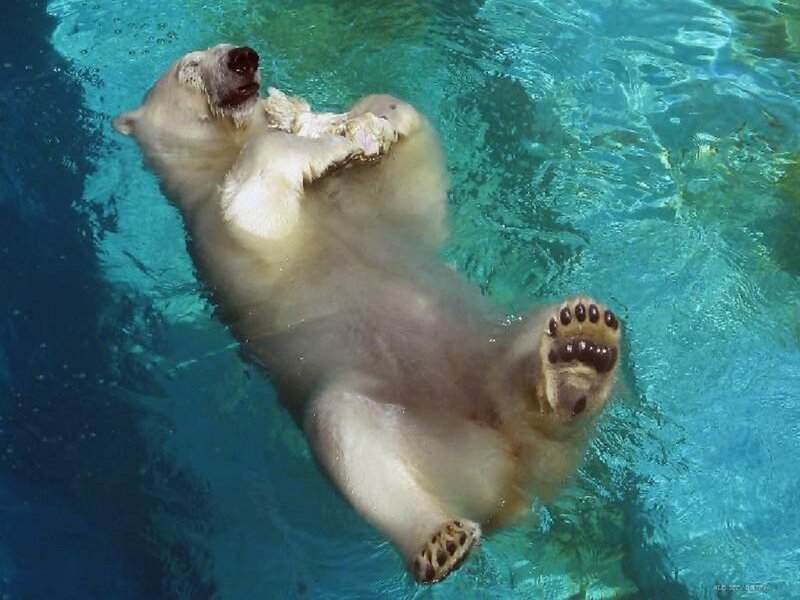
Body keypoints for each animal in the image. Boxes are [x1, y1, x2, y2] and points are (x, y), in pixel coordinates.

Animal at [114, 44, 622, 584]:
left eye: (230, 49)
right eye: (189, 68)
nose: (242, 58)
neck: (215, 157)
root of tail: (514, 485)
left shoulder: (362, 202)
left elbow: (418, 206)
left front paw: (379, 116)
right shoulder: (214, 228)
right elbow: (256, 200)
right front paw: (322, 145)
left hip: (493, 348)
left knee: (536, 348)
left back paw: (581, 349)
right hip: (429, 434)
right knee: (348, 431)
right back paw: (440, 538)